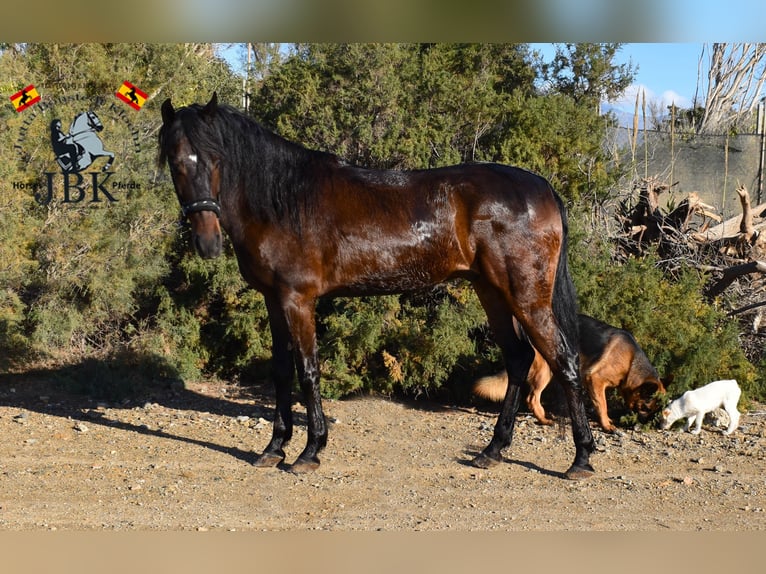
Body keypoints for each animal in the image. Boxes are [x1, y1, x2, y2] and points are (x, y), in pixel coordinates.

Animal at [159, 93, 596, 482]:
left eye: (216, 160)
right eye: (177, 164)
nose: (207, 243)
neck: (282, 200)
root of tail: (543, 188)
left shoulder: (298, 300)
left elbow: (308, 371)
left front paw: (310, 451)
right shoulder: (273, 299)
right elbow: (281, 372)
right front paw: (273, 448)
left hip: (527, 295)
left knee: (563, 359)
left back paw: (581, 459)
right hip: (491, 291)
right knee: (519, 358)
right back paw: (493, 450)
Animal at [474, 316, 664, 432]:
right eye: (646, 408)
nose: (644, 426)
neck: (631, 362)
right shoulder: (594, 380)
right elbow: (602, 405)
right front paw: (606, 425)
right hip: (545, 371)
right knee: (532, 398)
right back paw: (544, 420)